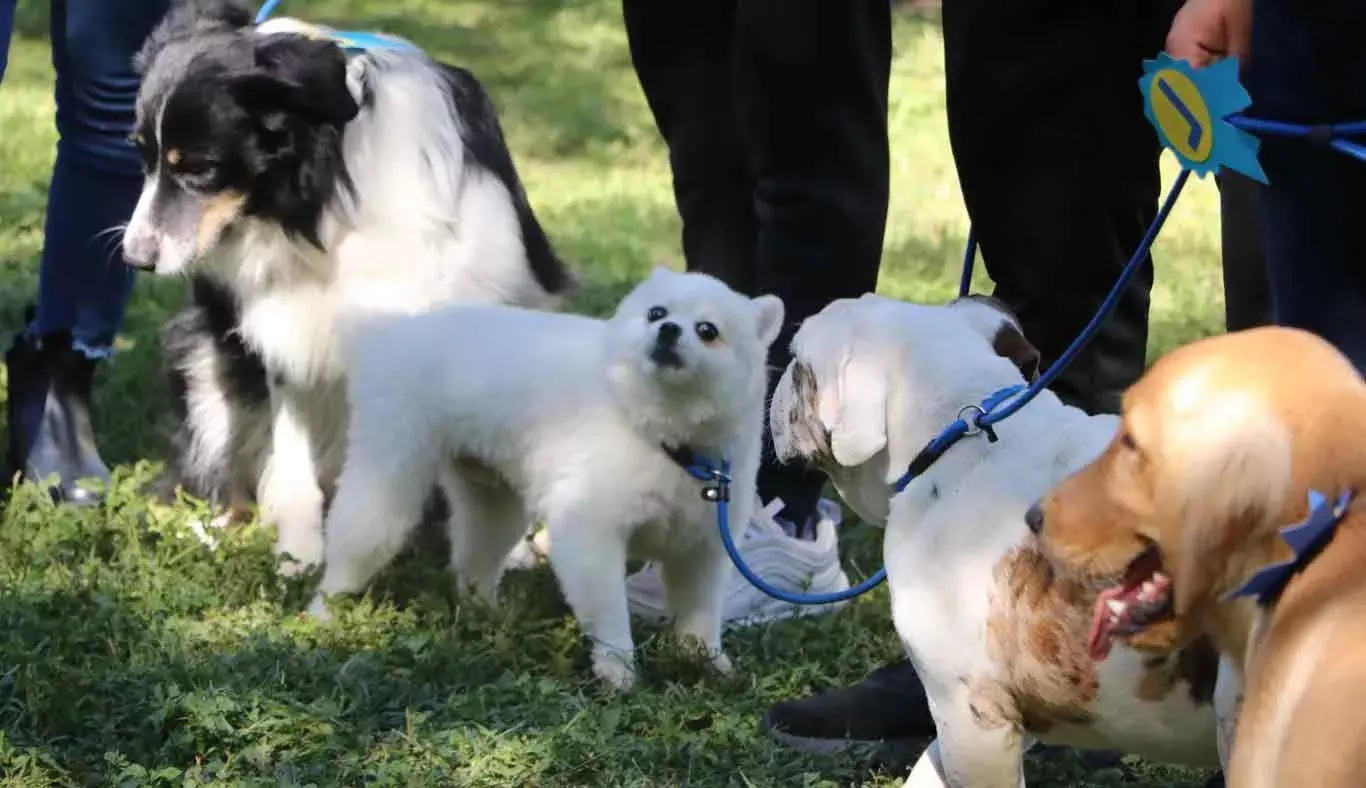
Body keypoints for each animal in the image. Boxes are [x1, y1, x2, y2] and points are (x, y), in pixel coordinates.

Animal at [310, 267, 781, 685]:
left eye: (707, 330)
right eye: (656, 312)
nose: (667, 331)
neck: (663, 438)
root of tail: (392, 332)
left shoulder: (702, 544)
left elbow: (700, 615)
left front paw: (707, 662)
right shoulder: (589, 529)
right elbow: (609, 612)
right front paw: (618, 669)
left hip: (492, 498)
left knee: (476, 558)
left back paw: (484, 611)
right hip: (390, 468)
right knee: (359, 540)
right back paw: (323, 611)